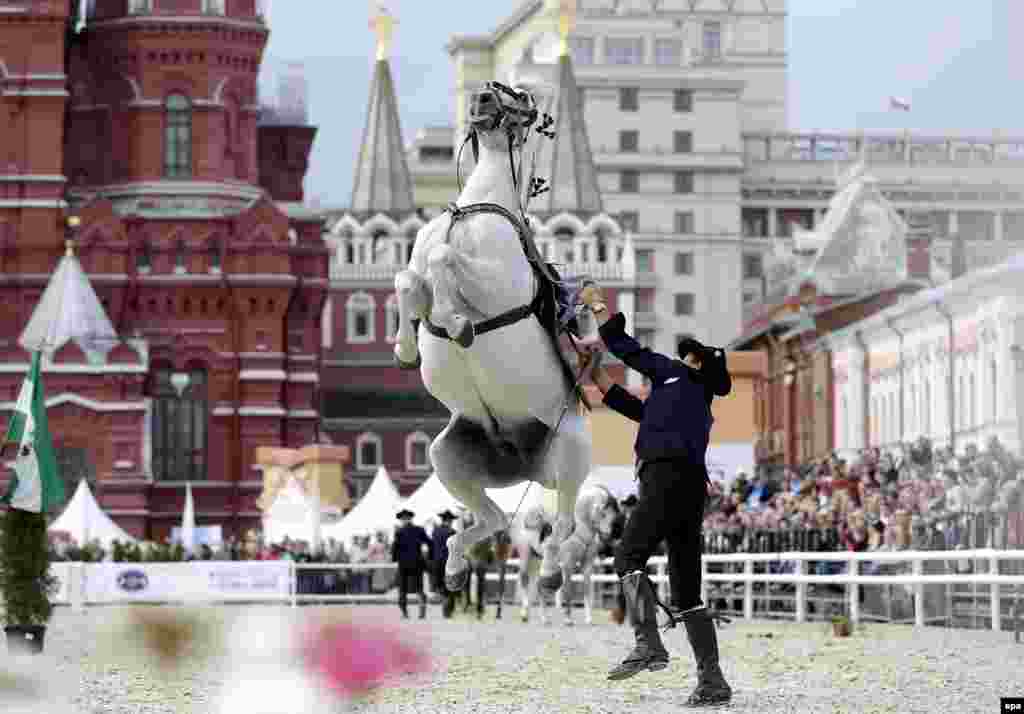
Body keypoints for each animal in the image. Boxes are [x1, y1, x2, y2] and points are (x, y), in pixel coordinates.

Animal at [393, 81, 598, 594]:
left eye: (520, 95)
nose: (484, 95)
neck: (470, 211)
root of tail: (523, 462)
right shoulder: (417, 269)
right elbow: (409, 279)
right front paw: (404, 347)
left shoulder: (497, 283)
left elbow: (445, 259)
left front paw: (456, 321)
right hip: (446, 457)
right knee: (494, 520)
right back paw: (453, 568)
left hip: (570, 454)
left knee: (562, 523)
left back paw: (550, 573)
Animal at [516, 485, 618, 622]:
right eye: (602, 513)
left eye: (613, 513)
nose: (608, 535)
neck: (579, 530)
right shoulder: (567, 565)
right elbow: (567, 590)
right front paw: (568, 619)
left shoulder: (587, 565)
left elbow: (586, 589)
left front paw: (589, 619)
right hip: (526, 557)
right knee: (524, 580)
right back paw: (524, 614)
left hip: (540, 561)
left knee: (539, 586)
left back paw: (544, 618)